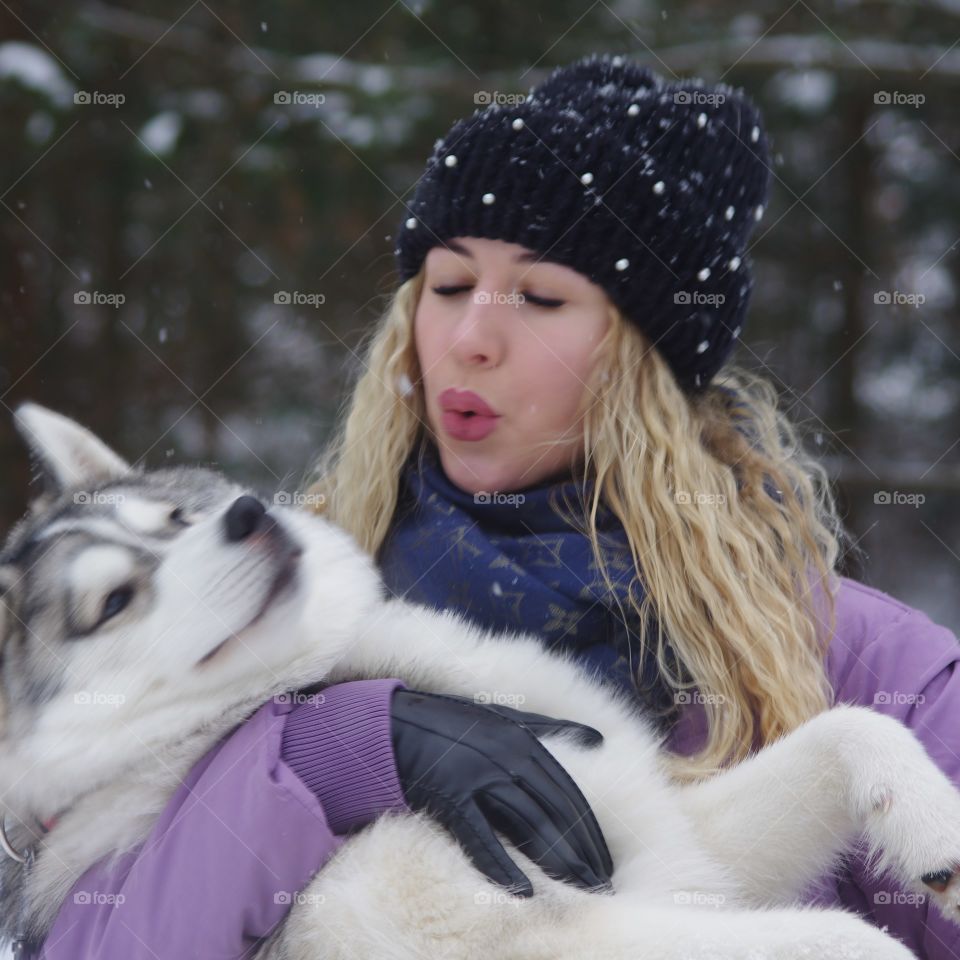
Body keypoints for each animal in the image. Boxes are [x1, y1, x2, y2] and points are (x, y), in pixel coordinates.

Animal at [1, 402, 960, 956]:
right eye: (113, 601)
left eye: (175, 515)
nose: (248, 517)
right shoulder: (556, 934)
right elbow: (850, 940)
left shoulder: (671, 840)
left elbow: (855, 727)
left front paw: (934, 827)